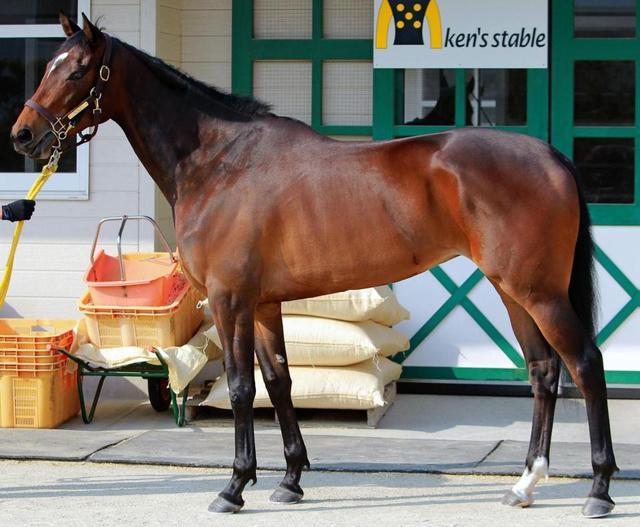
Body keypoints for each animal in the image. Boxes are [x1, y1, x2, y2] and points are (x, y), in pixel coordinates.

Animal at [10, 13, 617, 518]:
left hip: (538, 292)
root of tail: (550, 155)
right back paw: (526, 484)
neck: (218, 162)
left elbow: (240, 387)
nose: (22, 134)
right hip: (512, 290)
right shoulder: (263, 304)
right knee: (543, 371)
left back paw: (599, 490)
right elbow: (279, 382)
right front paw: (290, 481)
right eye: (48, 64)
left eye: (78, 70)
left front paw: (234, 487)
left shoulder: (230, 300)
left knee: (586, 364)